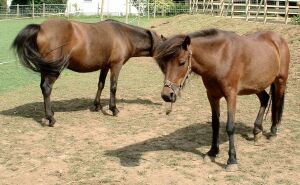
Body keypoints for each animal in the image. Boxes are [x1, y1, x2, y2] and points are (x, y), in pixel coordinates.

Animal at [12, 18, 164, 126]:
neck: (123, 35)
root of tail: (40, 28)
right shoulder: (116, 66)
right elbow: (113, 87)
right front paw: (113, 109)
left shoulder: (105, 66)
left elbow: (101, 84)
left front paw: (97, 105)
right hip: (53, 70)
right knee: (46, 88)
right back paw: (51, 118)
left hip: (46, 69)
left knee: (43, 88)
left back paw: (49, 113)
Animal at [154, 28, 290, 171]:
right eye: (164, 64)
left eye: (182, 62)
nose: (167, 95)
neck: (220, 58)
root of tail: (278, 38)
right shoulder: (212, 96)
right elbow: (215, 124)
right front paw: (212, 152)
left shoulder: (231, 96)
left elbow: (230, 127)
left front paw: (232, 160)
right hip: (257, 85)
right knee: (265, 99)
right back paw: (257, 131)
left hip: (280, 81)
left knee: (277, 103)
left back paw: (273, 132)